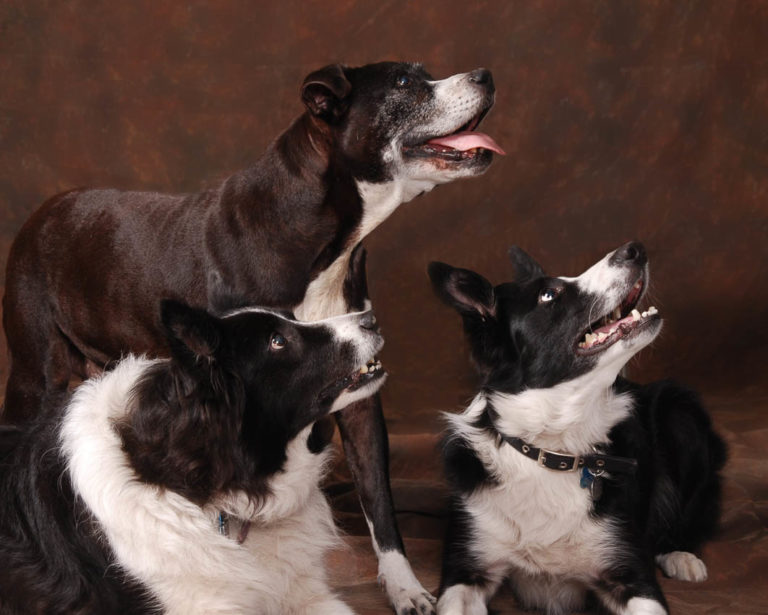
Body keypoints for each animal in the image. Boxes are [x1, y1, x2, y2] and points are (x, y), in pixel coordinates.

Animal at [432, 244, 728, 615]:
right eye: (548, 295)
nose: (635, 249)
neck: (553, 447)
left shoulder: (630, 572)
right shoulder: (465, 570)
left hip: (681, 411)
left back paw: (681, 555)